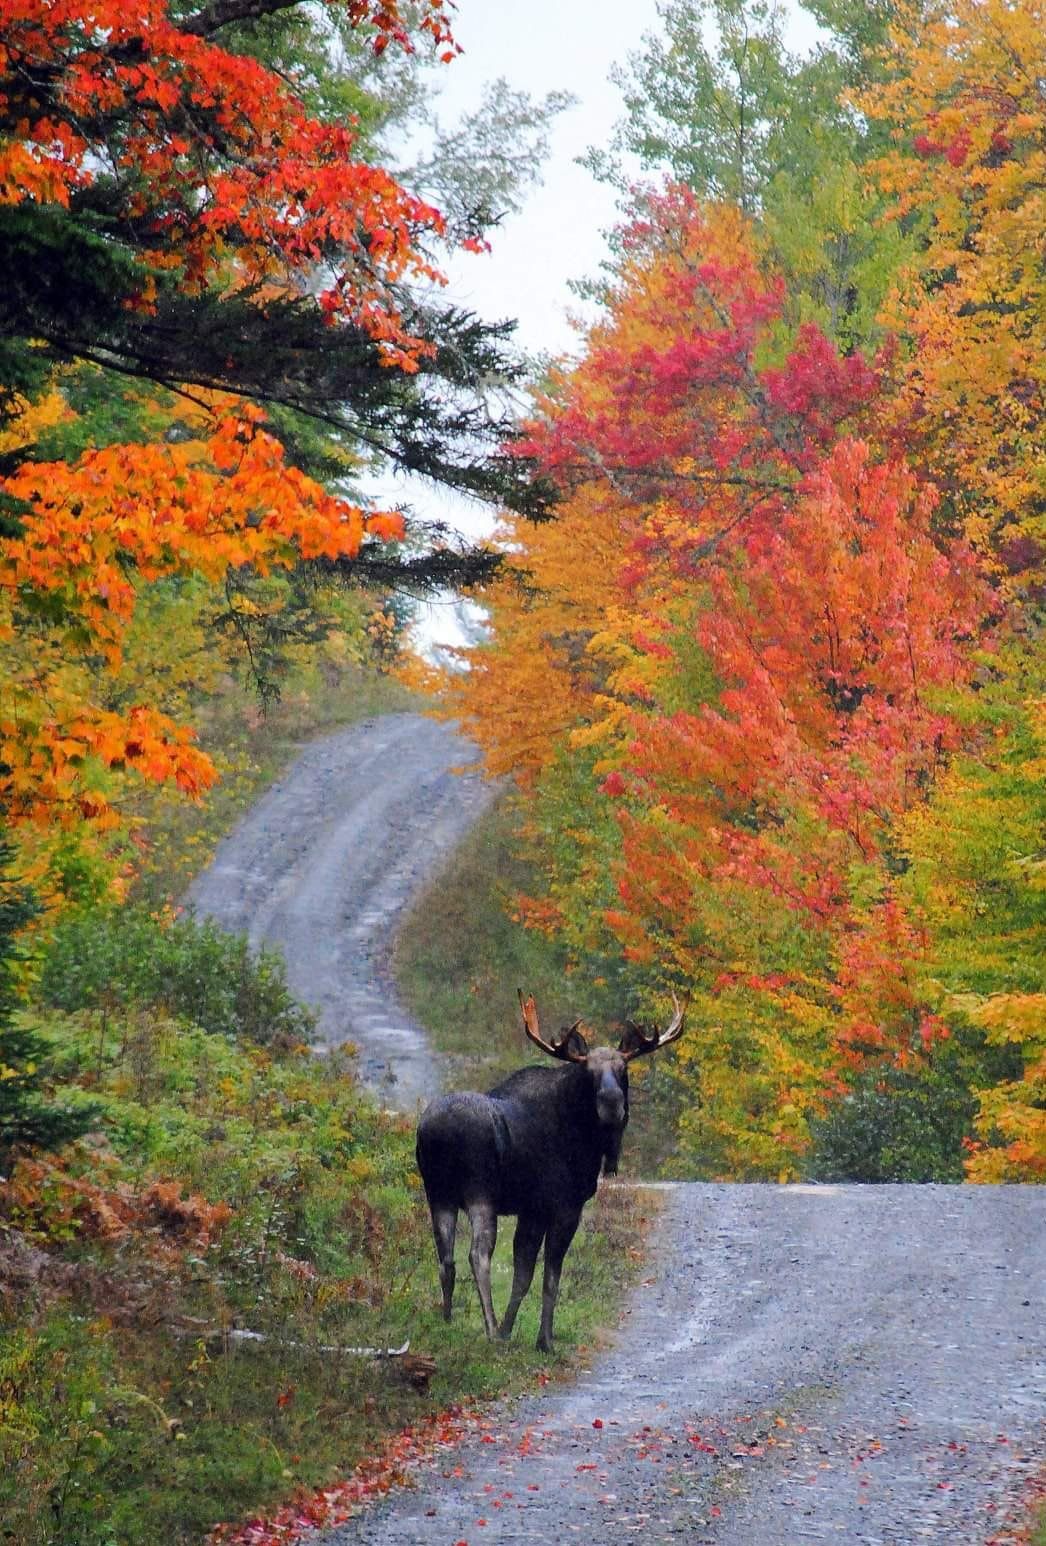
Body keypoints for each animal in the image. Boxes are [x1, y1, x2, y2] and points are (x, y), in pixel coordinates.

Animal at [415, 989, 685, 1352]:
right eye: (589, 1072)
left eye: (623, 1067)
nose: (612, 1102)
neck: (587, 1142)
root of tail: (435, 1132)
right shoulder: (563, 1206)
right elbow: (549, 1278)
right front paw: (543, 1341)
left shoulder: (533, 1210)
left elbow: (523, 1273)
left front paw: (511, 1330)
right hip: (478, 1192)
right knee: (478, 1255)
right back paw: (489, 1330)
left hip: (438, 1193)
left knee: (446, 1259)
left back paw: (447, 1322)